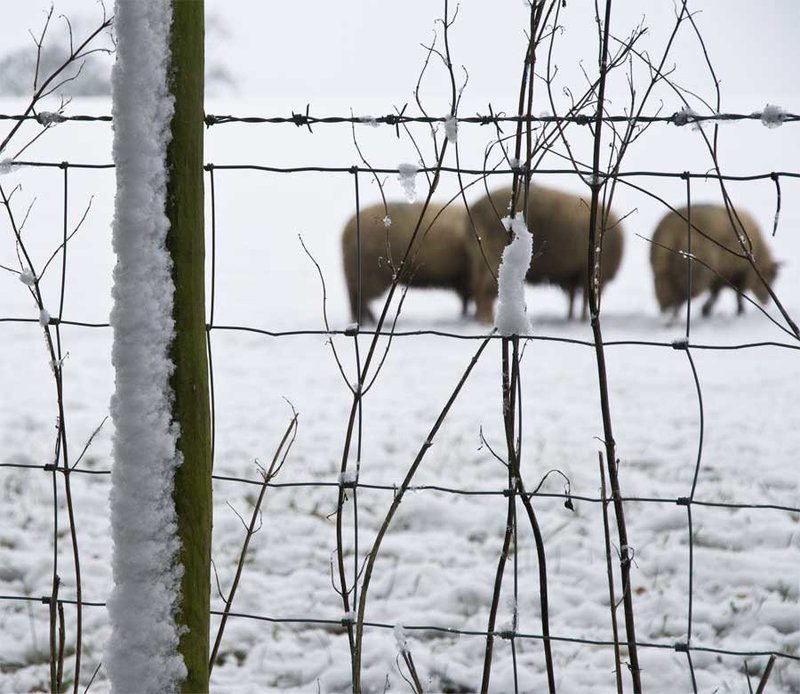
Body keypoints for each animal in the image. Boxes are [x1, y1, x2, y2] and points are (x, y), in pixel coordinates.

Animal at [340, 198, 472, 324]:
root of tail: (346, 230)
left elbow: (465, 301)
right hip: (369, 276)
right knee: (361, 298)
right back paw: (369, 320)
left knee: (356, 300)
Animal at [468, 186, 624, 324]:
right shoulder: (585, 273)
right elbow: (584, 299)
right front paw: (582, 319)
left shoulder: (573, 275)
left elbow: (573, 298)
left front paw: (572, 317)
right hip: (493, 255)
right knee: (486, 289)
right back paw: (486, 319)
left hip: (483, 259)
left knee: (479, 287)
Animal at [648, 205, 780, 316]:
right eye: (770, 277)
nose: (766, 301)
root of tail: (672, 231)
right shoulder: (741, 274)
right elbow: (734, 295)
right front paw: (739, 311)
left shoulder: (721, 275)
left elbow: (717, 294)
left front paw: (706, 310)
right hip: (695, 272)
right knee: (681, 295)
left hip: (662, 268)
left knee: (665, 294)